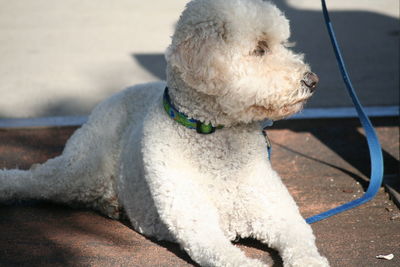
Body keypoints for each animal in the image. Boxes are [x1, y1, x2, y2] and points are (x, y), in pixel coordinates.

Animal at [0, 0, 328, 266]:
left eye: (283, 43)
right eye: (260, 48)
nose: (312, 80)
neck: (214, 134)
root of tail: (119, 93)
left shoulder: (278, 213)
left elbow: (302, 241)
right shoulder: (199, 227)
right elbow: (229, 256)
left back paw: (111, 204)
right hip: (79, 168)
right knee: (33, 179)